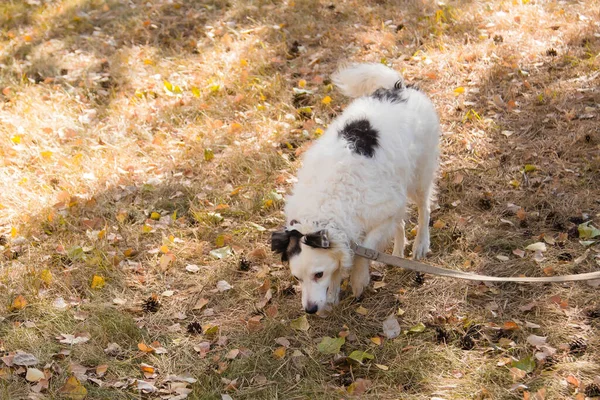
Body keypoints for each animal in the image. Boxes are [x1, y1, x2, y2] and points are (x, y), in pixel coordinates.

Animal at [272, 62, 440, 314]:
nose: (310, 310)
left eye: (318, 275)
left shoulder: (384, 211)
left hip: (419, 176)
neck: (323, 209)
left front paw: (358, 280)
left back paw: (421, 244)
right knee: (401, 222)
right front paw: (333, 294)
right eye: (297, 278)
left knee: (424, 208)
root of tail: (399, 88)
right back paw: (398, 253)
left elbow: (364, 251)